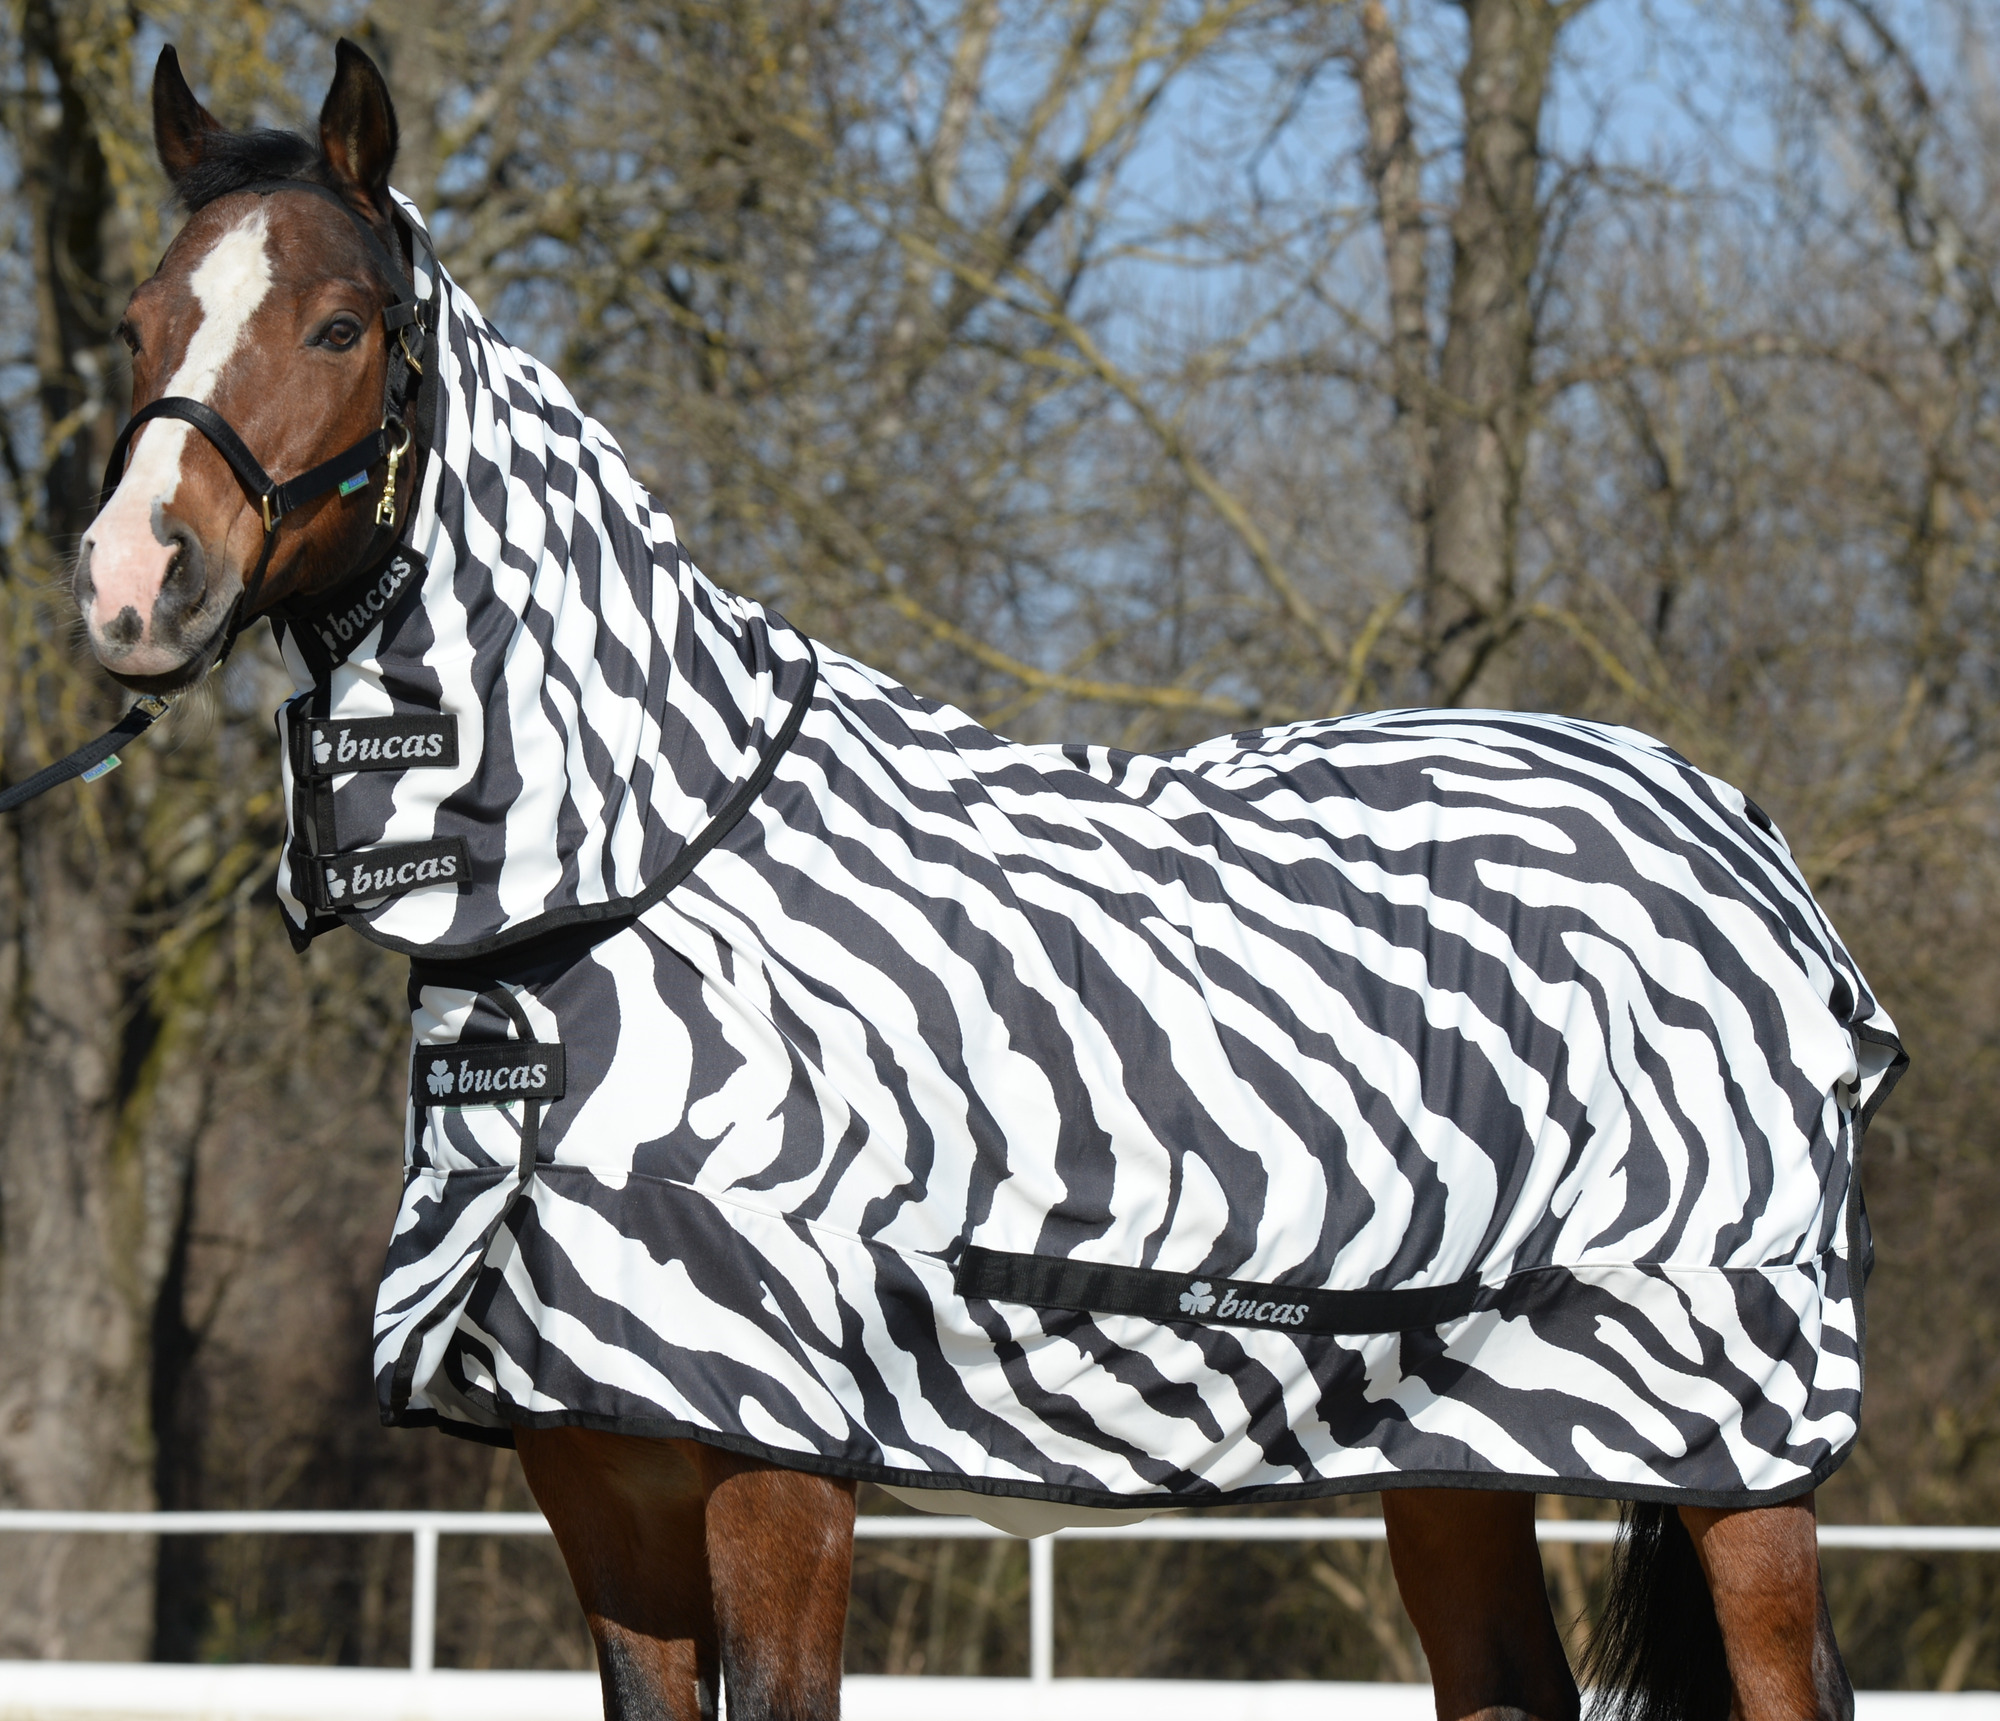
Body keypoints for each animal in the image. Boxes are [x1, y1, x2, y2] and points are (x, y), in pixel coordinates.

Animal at [66, 39, 1881, 1721]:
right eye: (140, 321)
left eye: (337, 327)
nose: (131, 582)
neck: (632, 879)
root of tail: (1744, 835)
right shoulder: (599, 1471)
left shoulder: (782, 1458)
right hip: (1453, 1443)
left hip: (1737, 1455)